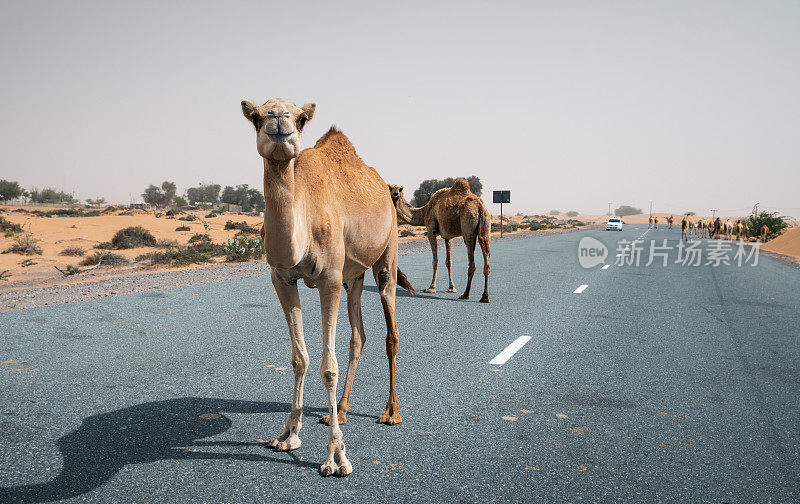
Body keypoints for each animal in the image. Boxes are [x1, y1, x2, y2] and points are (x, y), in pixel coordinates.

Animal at [241, 97, 410, 476]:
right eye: (255, 116)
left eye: (301, 118)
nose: (278, 120)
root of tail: (386, 188)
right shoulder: (282, 278)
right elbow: (299, 358)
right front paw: (288, 434)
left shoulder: (328, 279)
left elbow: (327, 368)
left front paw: (336, 457)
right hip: (354, 277)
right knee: (358, 336)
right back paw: (343, 411)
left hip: (386, 254)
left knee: (391, 331)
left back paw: (391, 412)